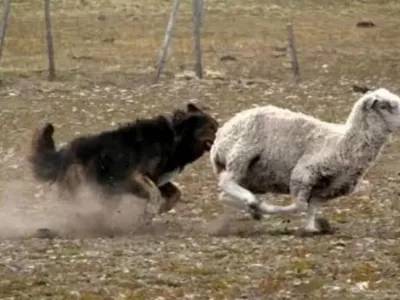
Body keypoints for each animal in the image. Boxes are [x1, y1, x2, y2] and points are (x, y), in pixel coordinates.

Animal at [209, 88, 400, 233]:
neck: (340, 143)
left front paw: (312, 228)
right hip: (241, 155)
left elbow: (311, 209)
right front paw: (264, 207)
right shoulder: (302, 176)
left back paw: (249, 207)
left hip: (251, 176)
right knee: (227, 182)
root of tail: (222, 133)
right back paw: (252, 202)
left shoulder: (325, 190)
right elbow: (299, 206)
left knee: (224, 193)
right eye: (385, 106)